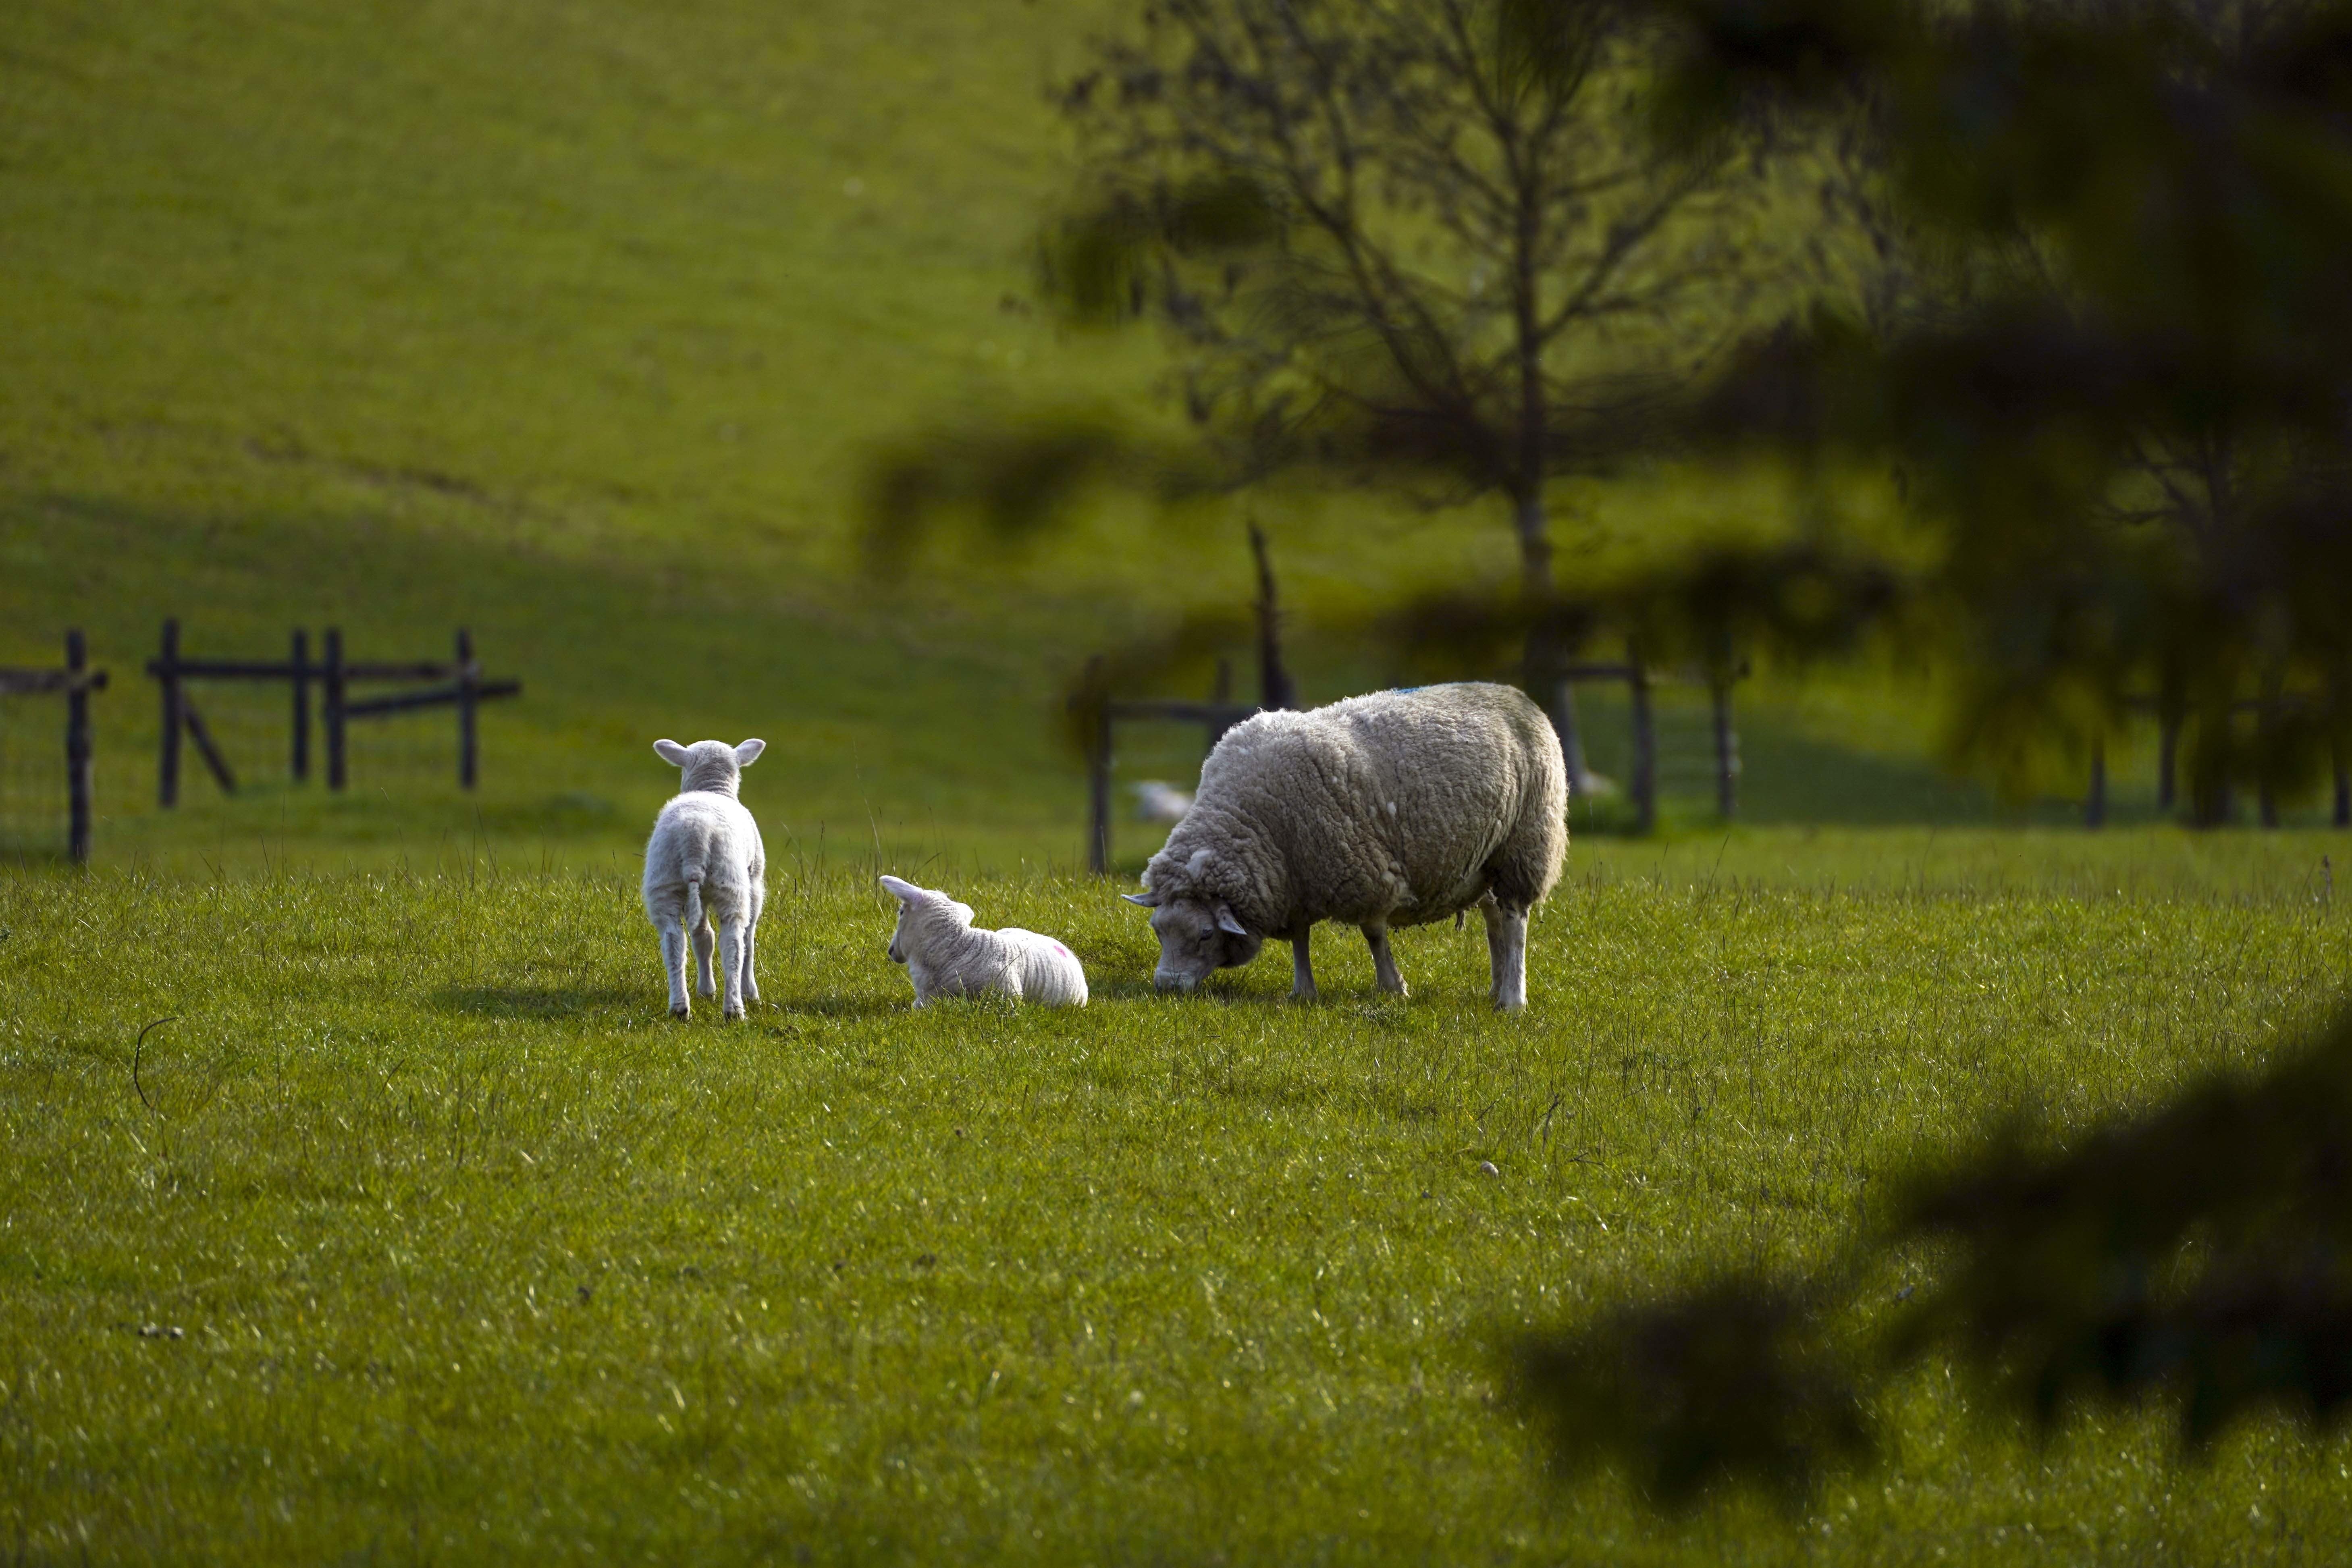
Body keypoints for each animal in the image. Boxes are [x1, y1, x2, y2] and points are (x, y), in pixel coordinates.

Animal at [640, 743, 767, 1025]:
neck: (712, 788)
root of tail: (694, 837)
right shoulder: (754, 882)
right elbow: (749, 939)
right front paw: (750, 991)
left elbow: (703, 938)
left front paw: (706, 990)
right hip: (731, 883)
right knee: (734, 943)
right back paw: (734, 1009)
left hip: (664, 883)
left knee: (674, 942)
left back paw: (680, 1007)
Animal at [1129, 681, 1571, 1011]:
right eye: (1157, 931)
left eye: (1206, 934)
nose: (1166, 987)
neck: (1250, 818)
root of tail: (1514, 694)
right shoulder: (1294, 880)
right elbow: (1300, 938)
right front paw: (1303, 992)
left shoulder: (1364, 870)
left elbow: (1373, 934)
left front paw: (1393, 987)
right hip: (1486, 861)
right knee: (1495, 919)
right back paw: (1496, 989)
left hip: (1526, 843)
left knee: (1515, 921)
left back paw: (1513, 1000)